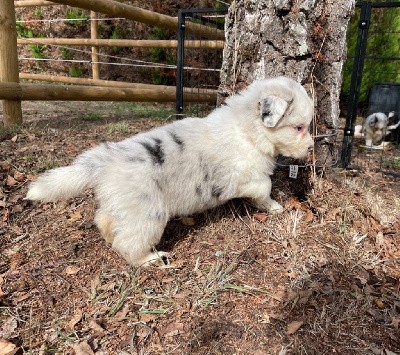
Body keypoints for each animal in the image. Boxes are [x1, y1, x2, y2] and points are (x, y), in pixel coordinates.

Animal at [26, 77, 314, 268]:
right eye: (299, 127)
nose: (311, 147)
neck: (248, 130)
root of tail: (105, 160)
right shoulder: (250, 178)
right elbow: (265, 189)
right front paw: (275, 207)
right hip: (147, 216)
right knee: (129, 245)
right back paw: (151, 259)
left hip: (122, 206)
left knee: (104, 219)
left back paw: (109, 235)